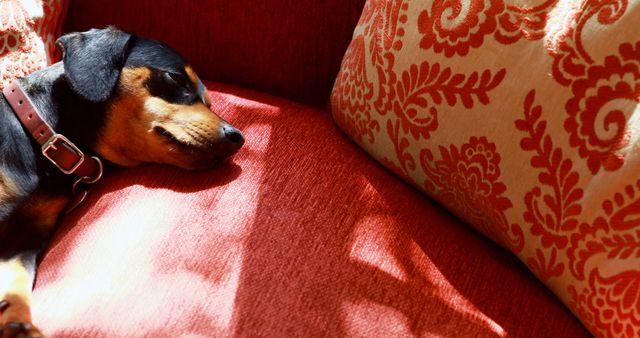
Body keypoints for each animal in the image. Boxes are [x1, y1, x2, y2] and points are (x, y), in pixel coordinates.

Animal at [0, 27, 245, 336]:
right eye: (176, 78)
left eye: (209, 101)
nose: (238, 137)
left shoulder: (26, 237)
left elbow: (17, 282)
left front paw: (19, 324)